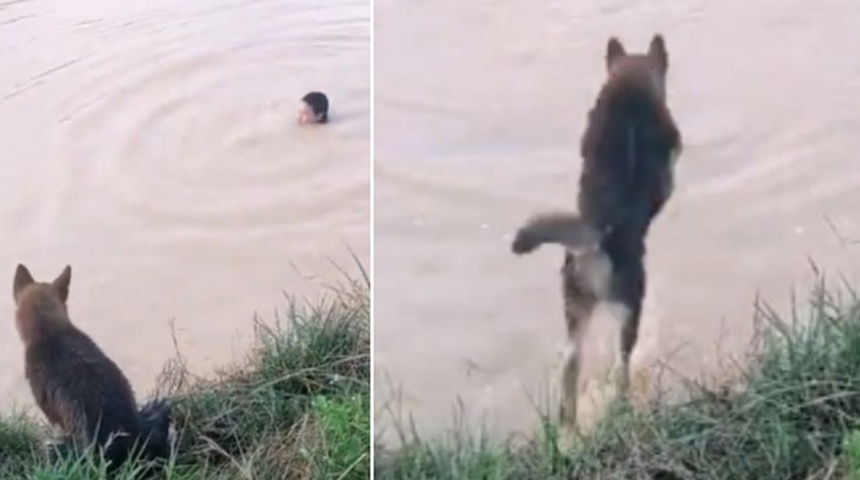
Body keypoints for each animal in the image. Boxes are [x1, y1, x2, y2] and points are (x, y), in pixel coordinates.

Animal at [510, 33, 684, 436]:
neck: (629, 85)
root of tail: (597, 237)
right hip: (630, 307)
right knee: (621, 366)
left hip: (574, 306)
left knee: (571, 364)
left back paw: (569, 423)